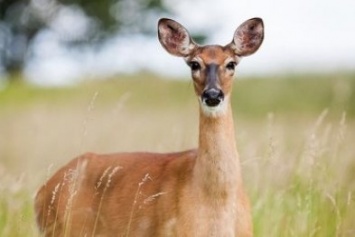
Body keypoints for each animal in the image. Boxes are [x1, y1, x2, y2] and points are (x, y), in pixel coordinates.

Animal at [34, 17, 264, 237]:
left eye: (231, 64)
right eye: (194, 64)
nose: (213, 95)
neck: (216, 199)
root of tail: (41, 193)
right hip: (61, 229)